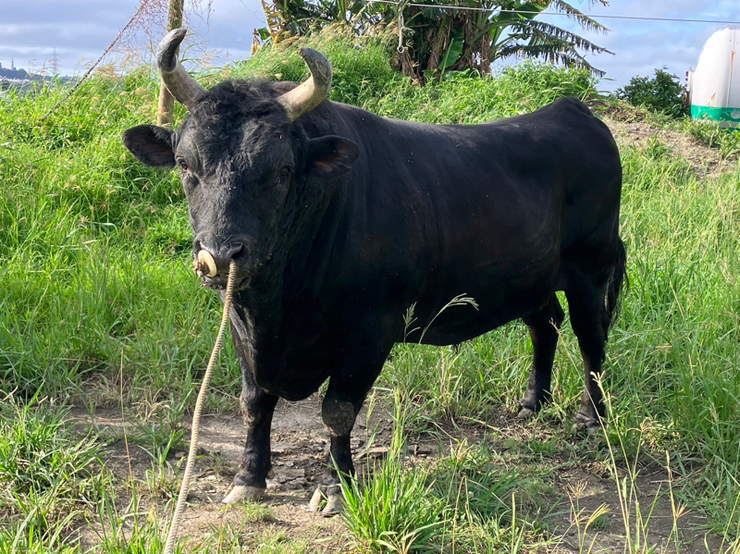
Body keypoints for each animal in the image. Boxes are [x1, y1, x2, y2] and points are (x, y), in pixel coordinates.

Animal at [121, 31, 624, 512]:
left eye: (282, 169)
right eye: (185, 164)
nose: (221, 256)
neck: (278, 306)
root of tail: (574, 111)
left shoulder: (370, 332)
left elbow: (338, 411)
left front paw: (335, 486)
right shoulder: (244, 330)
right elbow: (255, 403)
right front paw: (249, 478)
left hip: (589, 268)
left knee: (591, 338)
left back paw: (591, 417)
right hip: (532, 278)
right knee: (546, 324)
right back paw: (532, 402)